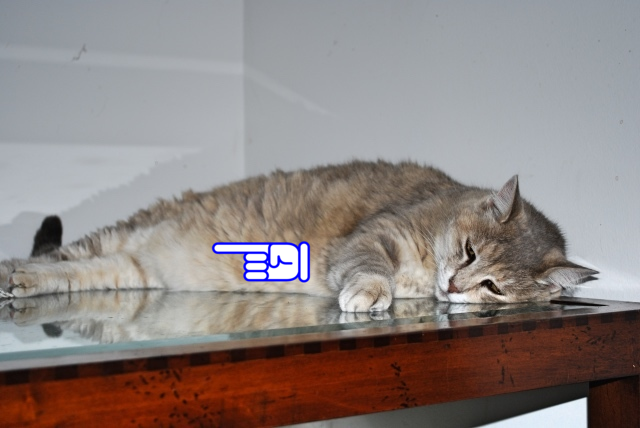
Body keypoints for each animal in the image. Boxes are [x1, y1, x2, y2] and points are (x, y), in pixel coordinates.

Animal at [0, 160, 597, 312]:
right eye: (471, 252)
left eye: (495, 286)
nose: (454, 286)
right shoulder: (374, 236)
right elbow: (371, 269)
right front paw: (369, 293)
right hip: (113, 238)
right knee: (57, 255)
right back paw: (12, 273)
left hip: (131, 272)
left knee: (72, 274)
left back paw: (23, 283)